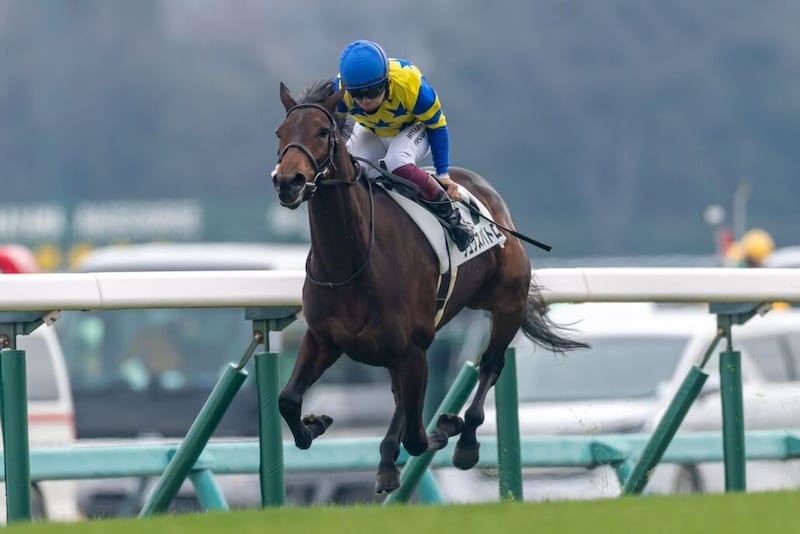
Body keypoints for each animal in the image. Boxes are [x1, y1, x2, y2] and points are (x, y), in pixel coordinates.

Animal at [271, 79, 587, 494]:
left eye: (323, 132)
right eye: (280, 133)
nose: (287, 182)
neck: (352, 260)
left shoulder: (413, 347)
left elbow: (418, 436)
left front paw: (447, 425)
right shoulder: (325, 339)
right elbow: (288, 400)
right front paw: (315, 424)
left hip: (506, 305)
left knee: (490, 365)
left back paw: (464, 439)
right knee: (403, 399)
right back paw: (388, 462)